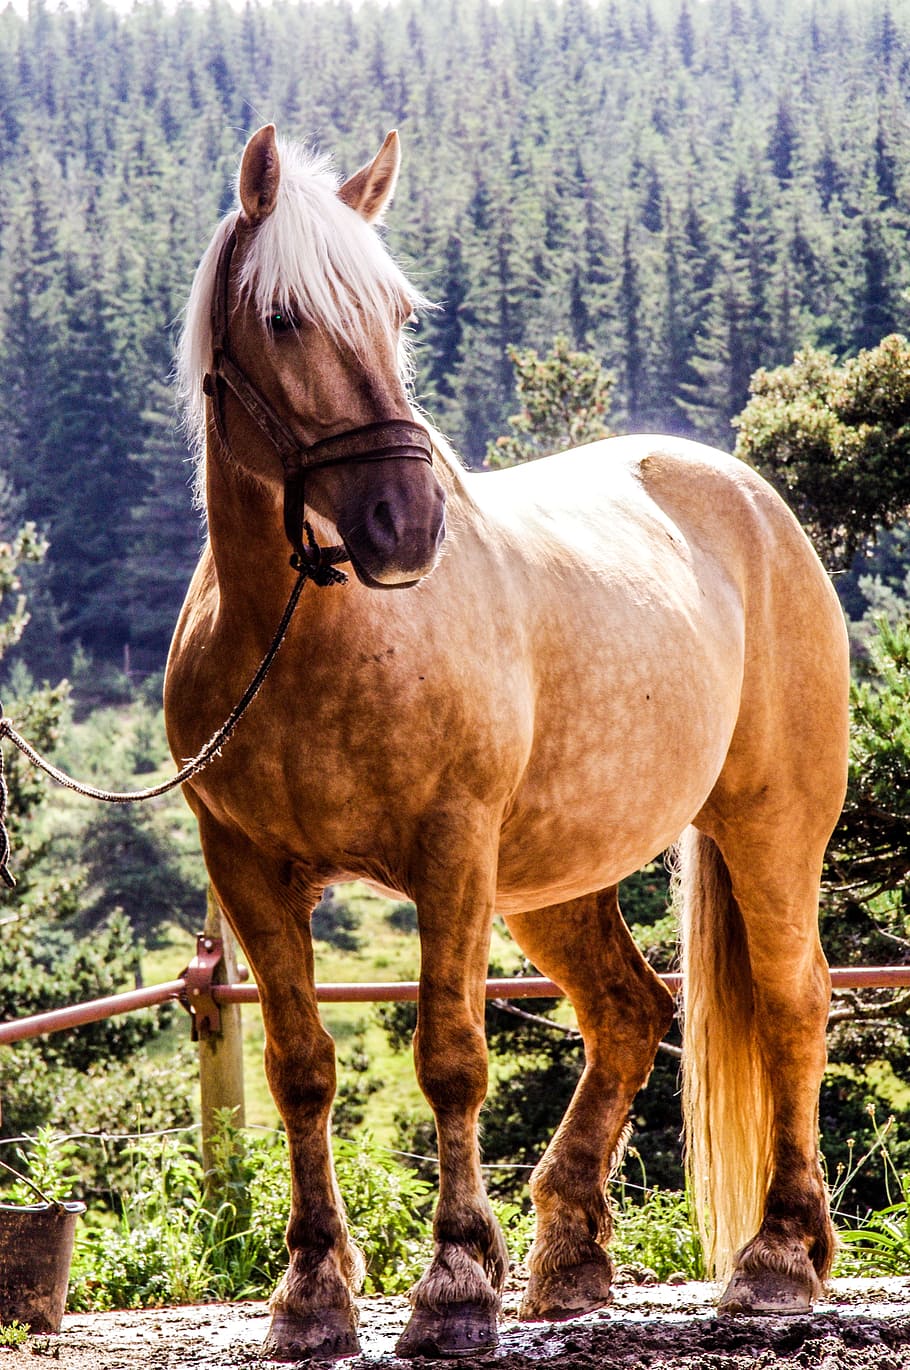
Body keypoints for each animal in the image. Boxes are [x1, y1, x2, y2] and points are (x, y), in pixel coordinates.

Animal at [165, 124, 850, 1362]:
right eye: (284, 318)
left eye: (397, 313)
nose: (405, 524)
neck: (306, 634)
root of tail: (753, 500)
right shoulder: (246, 867)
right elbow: (300, 1066)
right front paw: (312, 1289)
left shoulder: (450, 852)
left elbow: (449, 1057)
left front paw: (449, 1282)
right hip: (550, 879)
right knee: (629, 1011)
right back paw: (570, 1249)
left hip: (766, 827)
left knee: (790, 1002)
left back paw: (778, 1253)